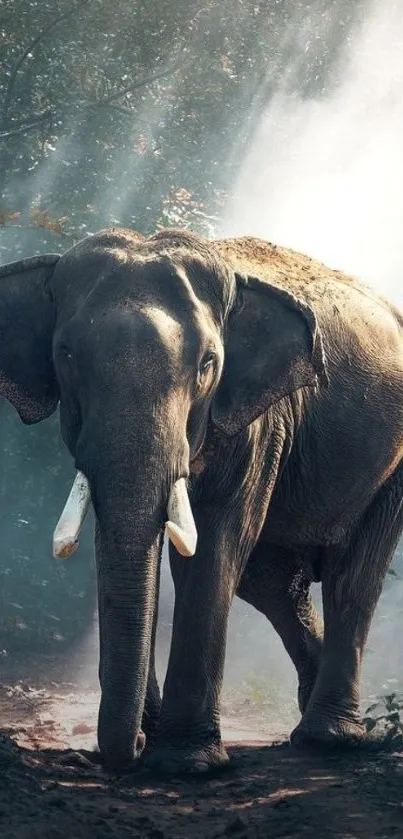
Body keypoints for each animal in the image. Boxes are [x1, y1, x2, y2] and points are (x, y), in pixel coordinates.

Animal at [0, 226, 403, 776]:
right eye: (64, 354)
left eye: (208, 363)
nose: (132, 748)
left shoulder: (258, 422)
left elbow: (213, 545)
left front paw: (185, 764)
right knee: (273, 584)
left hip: (391, 468)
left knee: (351, 578)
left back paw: (328, 739)